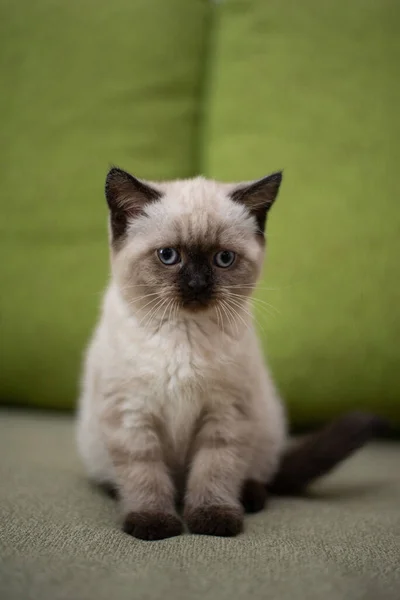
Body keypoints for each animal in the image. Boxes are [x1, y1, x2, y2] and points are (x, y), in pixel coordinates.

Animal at [76, 166, 386, 540]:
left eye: (223, 258)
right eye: (168, 256)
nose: (197, 285)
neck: (184, 336)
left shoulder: (225, 415)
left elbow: (214, 471)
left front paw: (214, 519)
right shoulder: (132, 416)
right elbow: (145, 476)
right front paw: (153, 523)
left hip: (266, 427)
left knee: (261, 476)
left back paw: (250, 498)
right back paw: (117, 493)